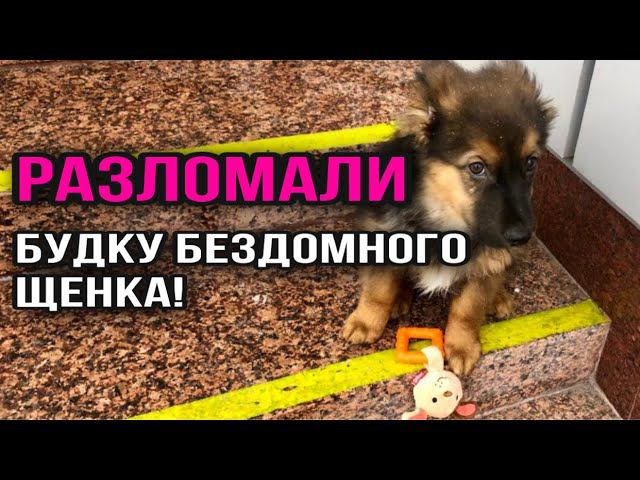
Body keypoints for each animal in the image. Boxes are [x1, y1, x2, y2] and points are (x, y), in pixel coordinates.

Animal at [342, 60, 556, 376]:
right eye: (477, 167)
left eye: (531, 162)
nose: (521, 237)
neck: (445, 221)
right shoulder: (384, 230)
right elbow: (378, 290)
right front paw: (365, 322)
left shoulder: (488, 259)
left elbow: (468, 308)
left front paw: (462, 346)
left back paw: (499, 297)